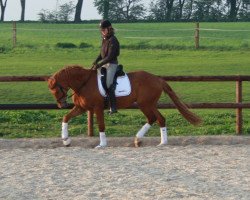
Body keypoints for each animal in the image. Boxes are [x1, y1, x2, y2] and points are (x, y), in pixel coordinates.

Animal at [47, 65, 202, 148]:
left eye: (56, 89)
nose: (61, 104)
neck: (83, 83)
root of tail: (158, 79)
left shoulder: (97, 108)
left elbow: (101, 125)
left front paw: (102, 144)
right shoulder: (82, 108)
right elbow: (66, 118)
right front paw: (66, 140)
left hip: (145, 104)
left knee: (154, 118)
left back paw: (146, 140)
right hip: (149, 104)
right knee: (158, 119)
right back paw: (156, 141)